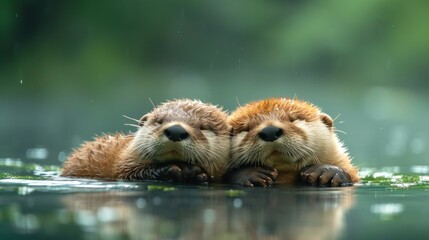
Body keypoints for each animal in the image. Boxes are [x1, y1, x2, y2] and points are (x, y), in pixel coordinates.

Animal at [60, 98, 231, 183]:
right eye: (159, 121)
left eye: (204, 127)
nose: (176, 131)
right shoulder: (125, 164)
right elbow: (129, 172)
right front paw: (181, 171)